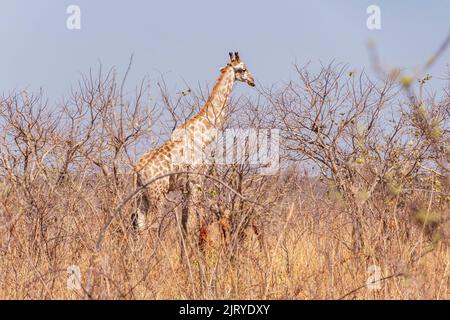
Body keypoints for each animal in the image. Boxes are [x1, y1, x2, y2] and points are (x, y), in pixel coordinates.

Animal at [132, 51, 255, 249]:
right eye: (243, 69)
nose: (253, 80)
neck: (204, 134)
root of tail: (137, 171)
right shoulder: (197, 182)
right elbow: (193, 223)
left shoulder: (186, 187)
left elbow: (184, 225)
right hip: (157, 193)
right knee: (152, 226)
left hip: (141, 195)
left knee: (140, 225)